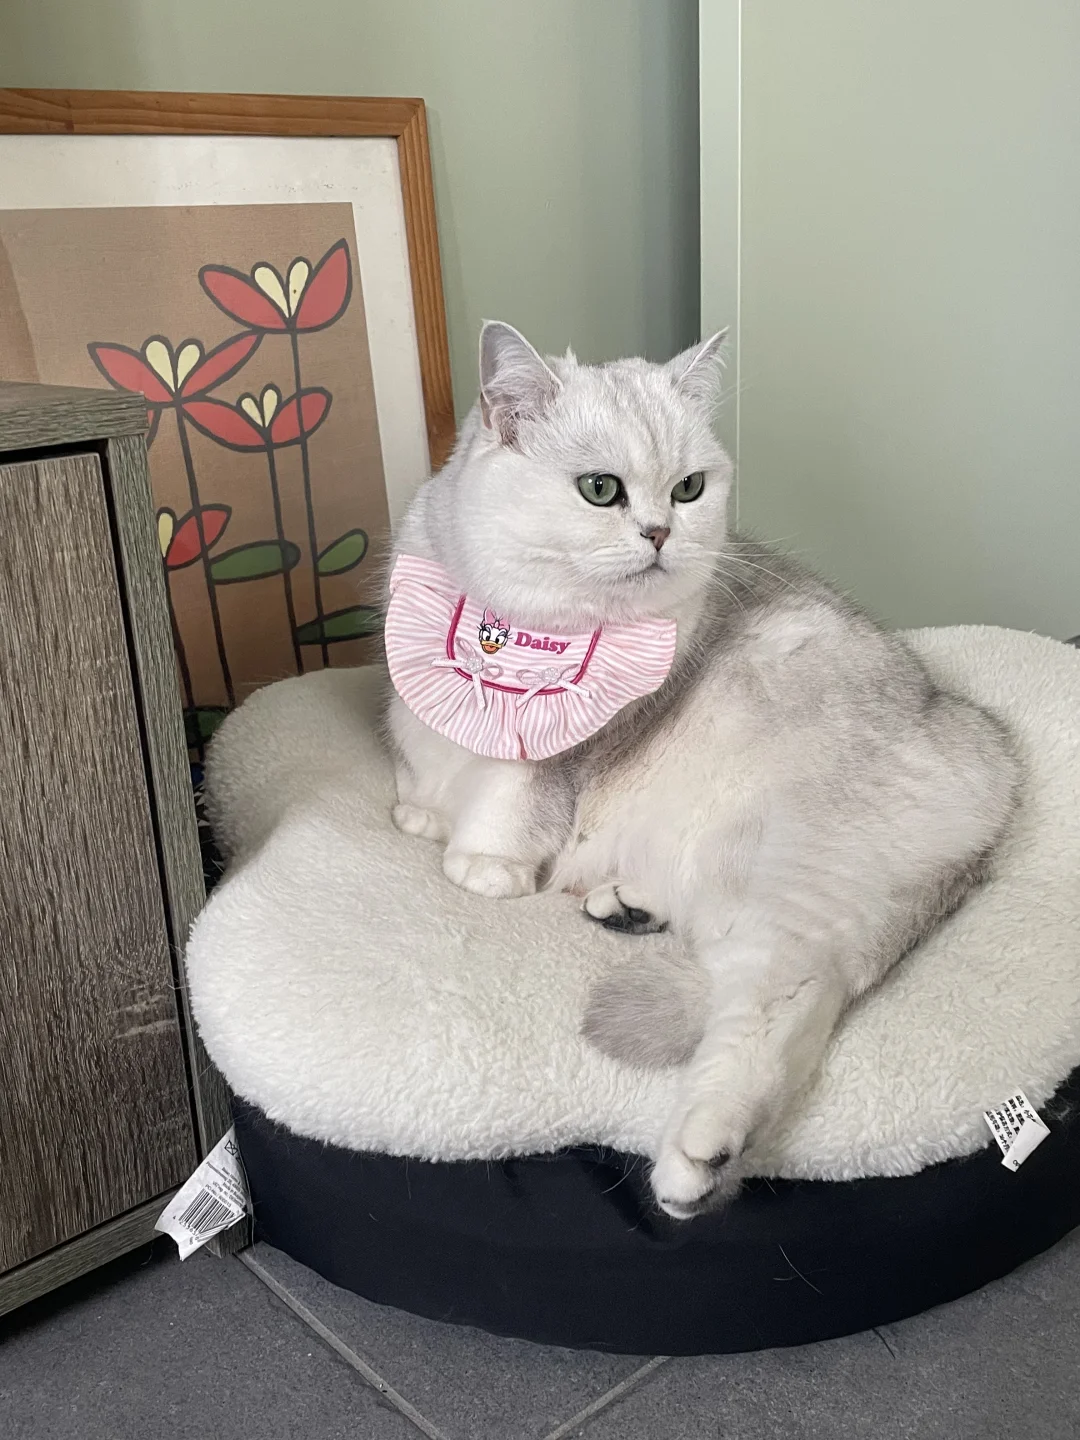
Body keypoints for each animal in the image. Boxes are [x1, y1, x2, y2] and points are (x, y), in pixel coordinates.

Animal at [385, 320, 1019, 1219]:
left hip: (780, 874)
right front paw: (421, 813)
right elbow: (421, 765)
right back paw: (626, 908)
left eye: (689, 489)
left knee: (785, 1002)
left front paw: (481, 863)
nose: (660, 533)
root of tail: (991, 759)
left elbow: (506, 798)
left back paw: (702, 1154)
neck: (508, 623)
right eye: (601, 489)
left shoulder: (551, 756)